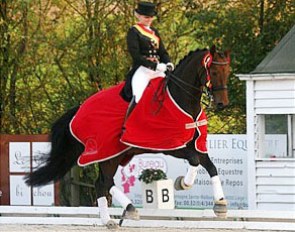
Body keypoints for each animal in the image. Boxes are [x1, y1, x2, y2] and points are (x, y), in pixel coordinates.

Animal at [25, 46, 231, 229]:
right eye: (213, 70)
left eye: (227, 71)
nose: (222, 104)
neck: (181, 100)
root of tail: (79, 109)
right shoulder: (172, 145)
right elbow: (195, 161)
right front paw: (183, 183)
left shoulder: (196, 144)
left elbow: (211, 166)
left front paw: (220, 204)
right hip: (107, 154)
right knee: (106, 182)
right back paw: (130, 209)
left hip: (113, 156)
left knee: (101, 183)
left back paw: (109, 221)